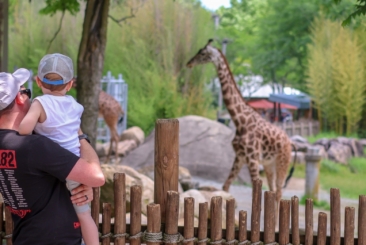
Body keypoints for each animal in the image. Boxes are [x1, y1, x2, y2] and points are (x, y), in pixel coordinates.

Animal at [187, 39, 294, 205]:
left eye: (203, 53)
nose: (189, 63)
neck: (239, 121)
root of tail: (289, 141)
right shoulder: (240, 157)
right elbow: (225, 186)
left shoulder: (252, 158)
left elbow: (255, 193)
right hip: (269, 164)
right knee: (273, 190)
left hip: (283, 161)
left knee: (279, 191)